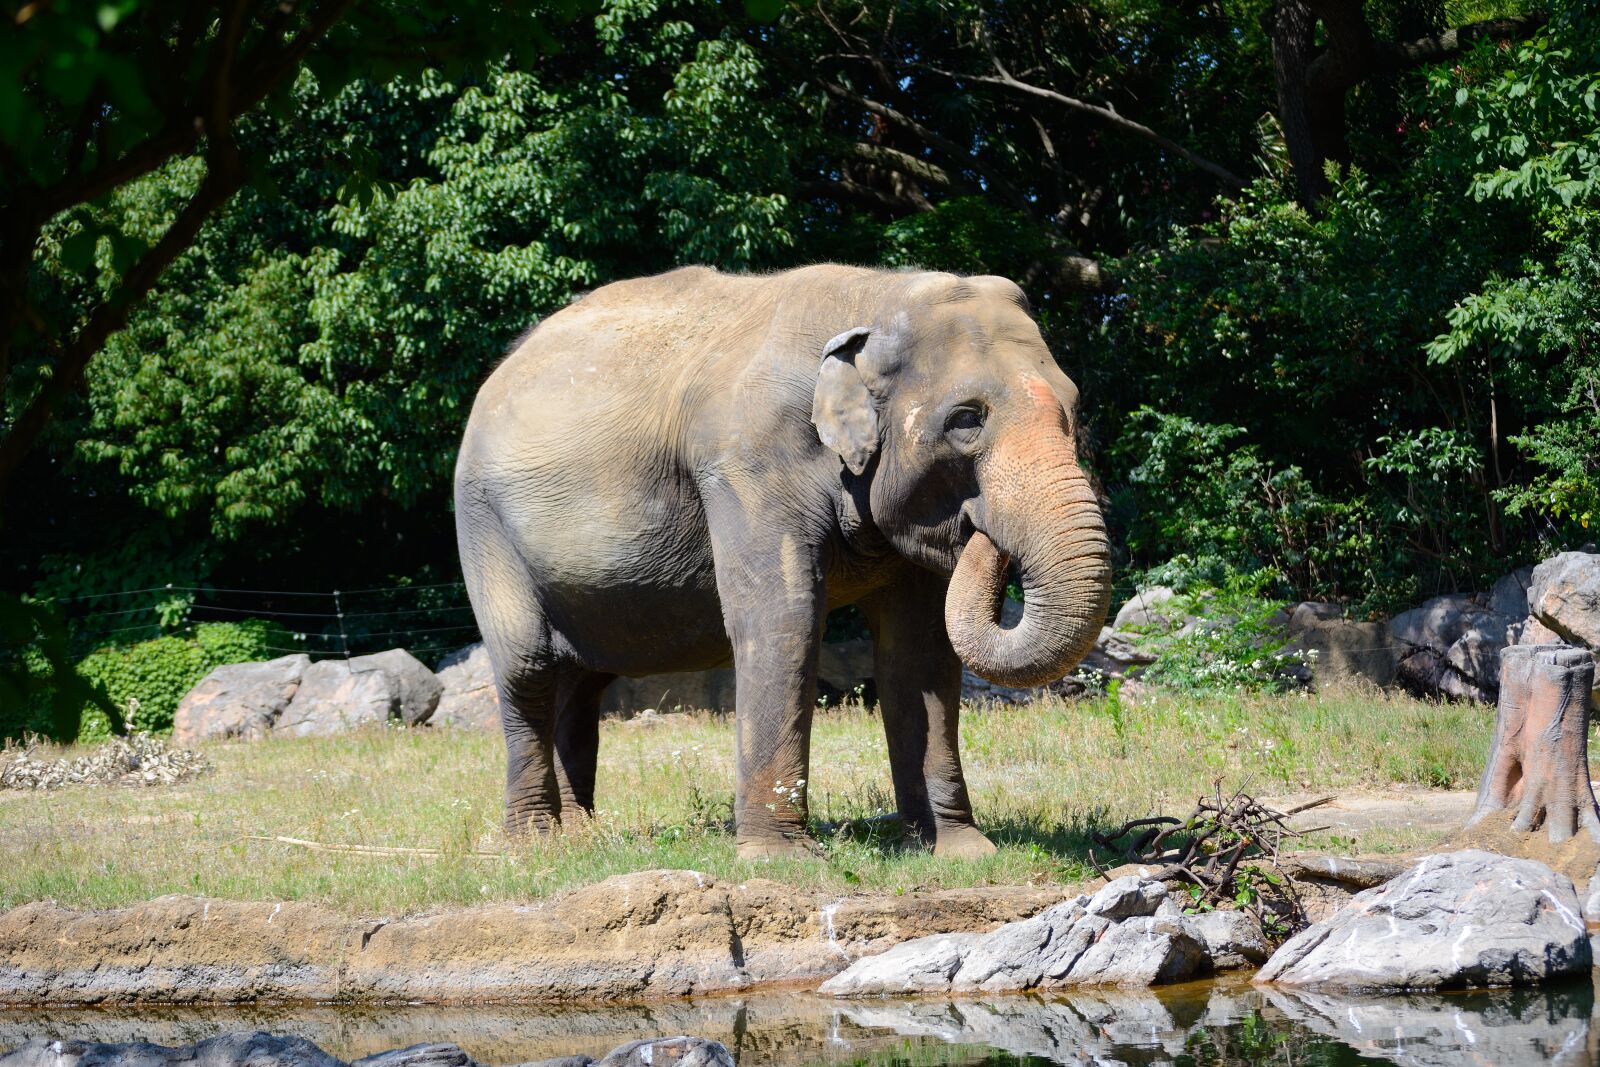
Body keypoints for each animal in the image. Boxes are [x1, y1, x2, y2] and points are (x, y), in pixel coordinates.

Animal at [454, 264, 1111, 859]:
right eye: (966, 419)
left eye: (1075, 409)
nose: (984, 531)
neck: (876, 295)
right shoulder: (749, 464)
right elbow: (782, 620)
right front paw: (782, 860)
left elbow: (919, 650)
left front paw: (961, 852)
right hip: (483, 529)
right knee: (528, 669)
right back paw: (536, 847)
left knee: (580, 684)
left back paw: (583, 842)